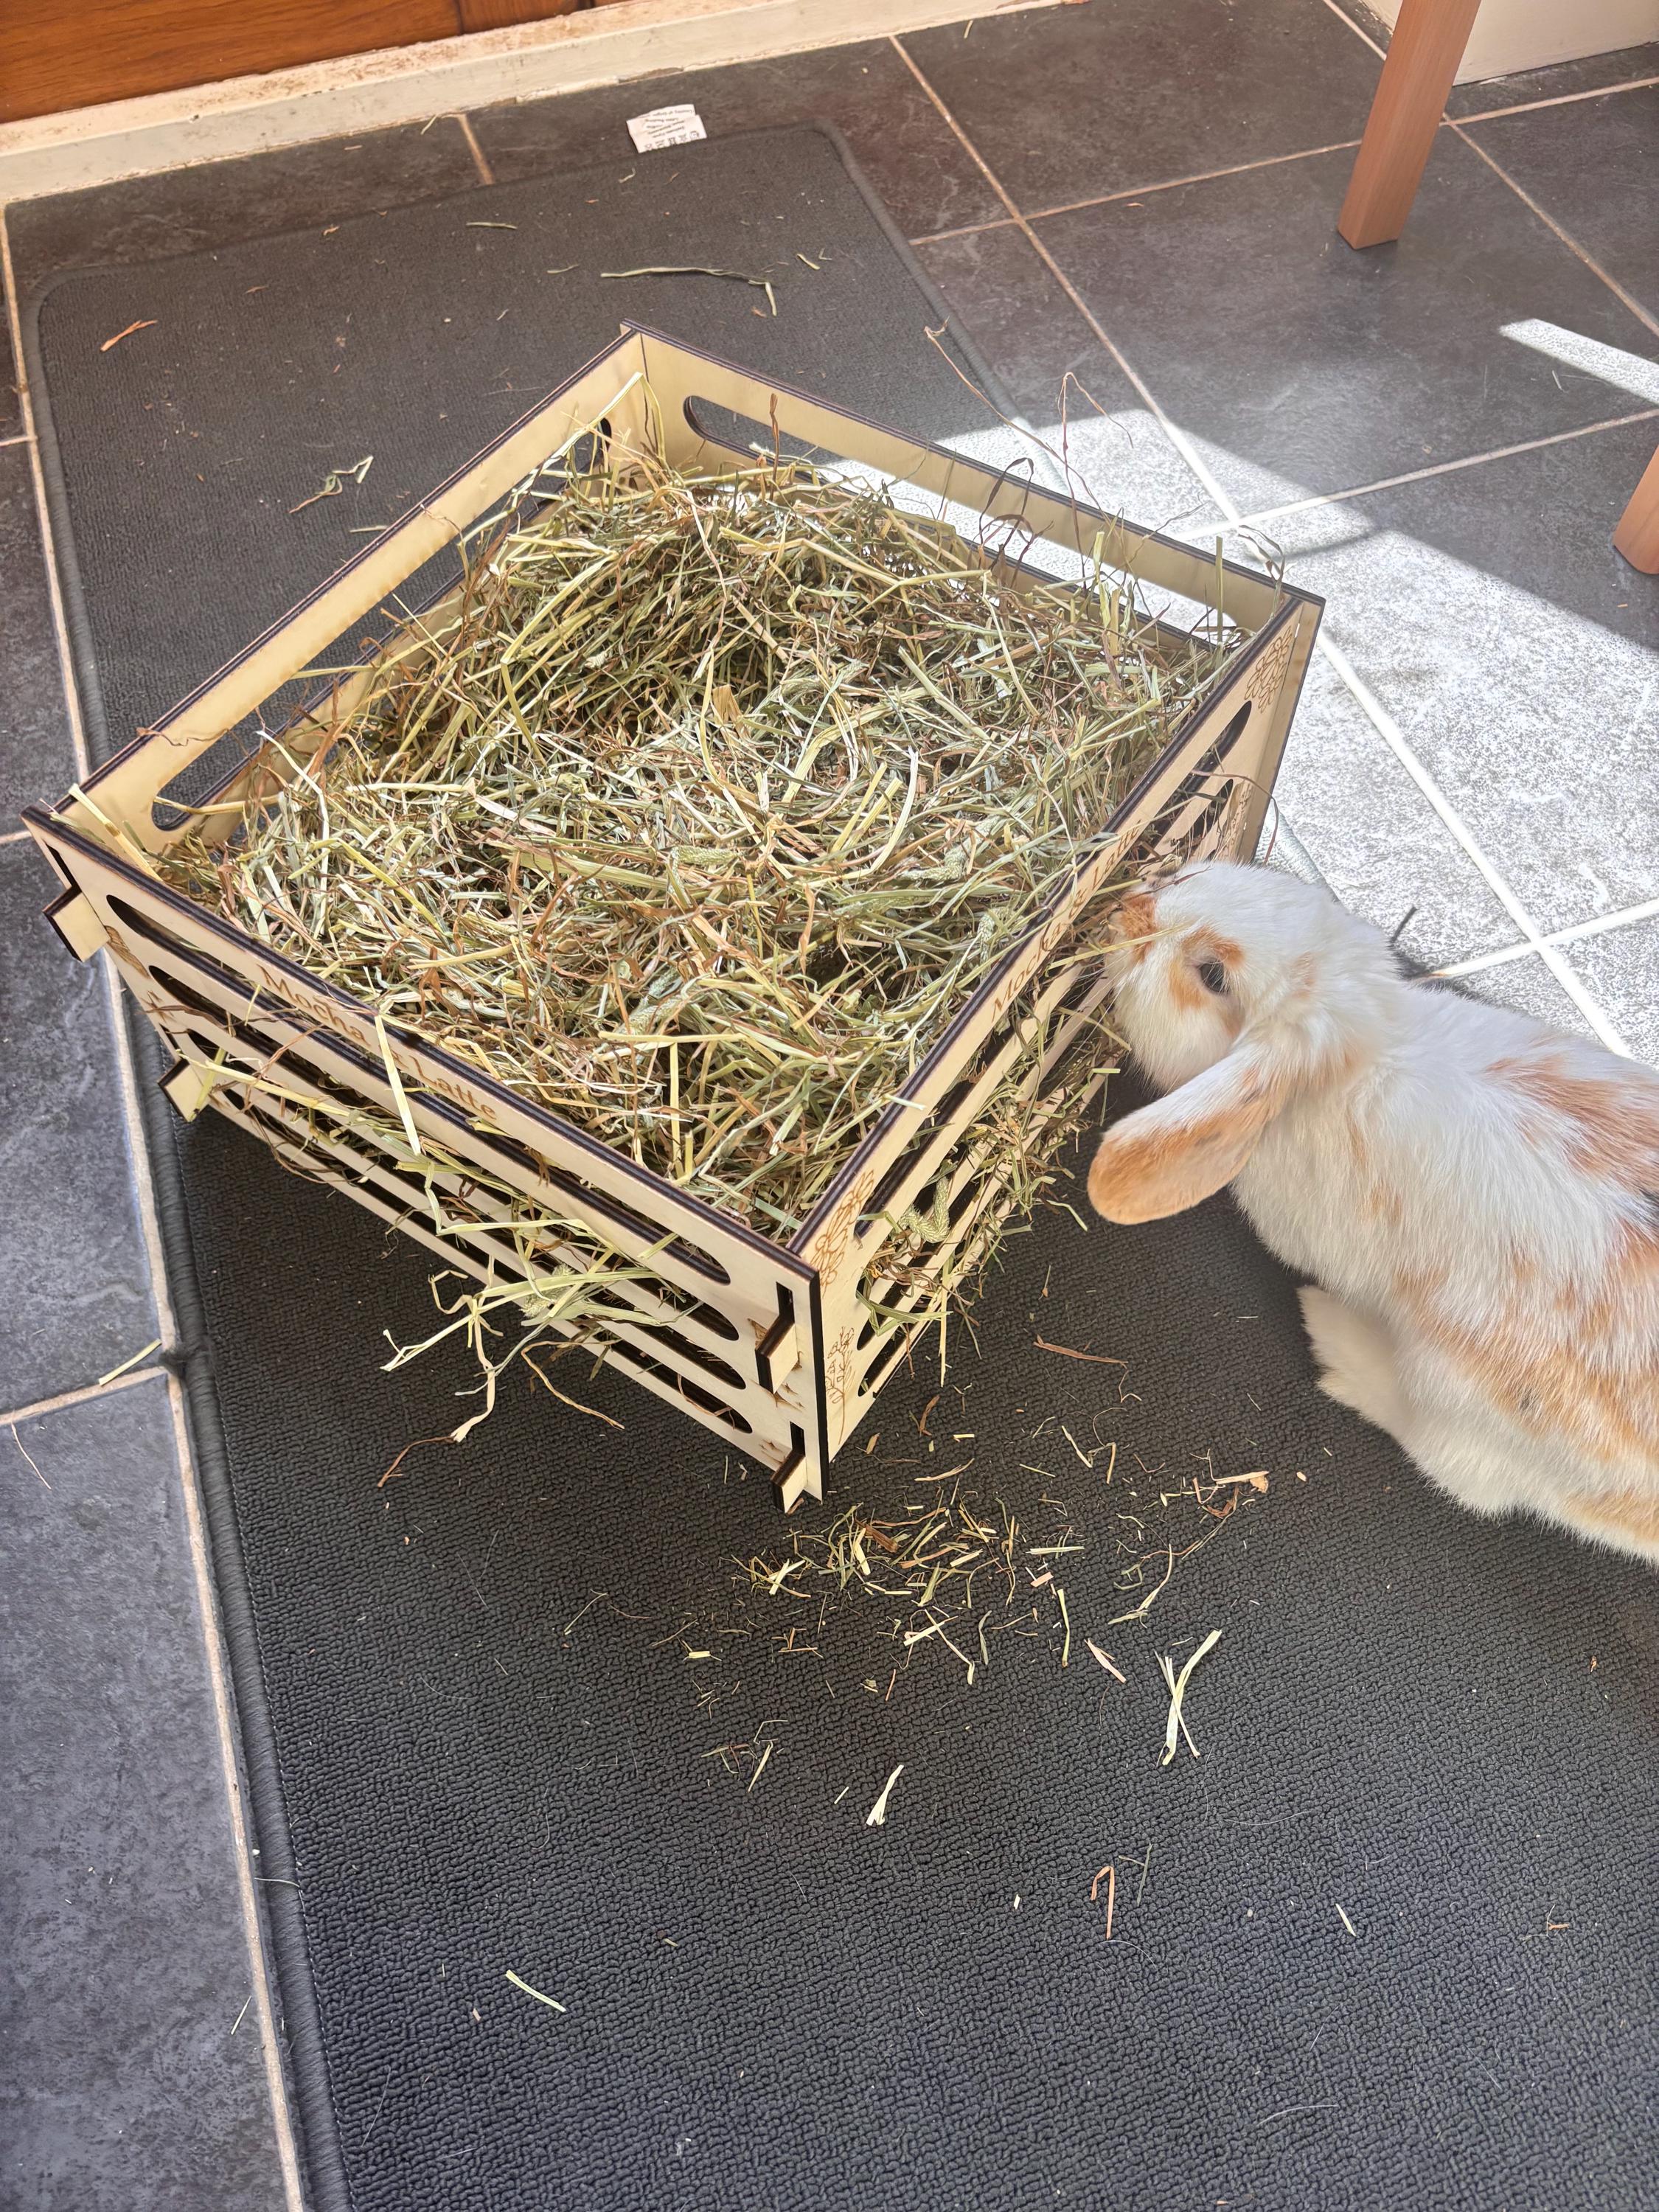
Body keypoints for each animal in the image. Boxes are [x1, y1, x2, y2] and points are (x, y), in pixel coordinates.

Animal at [1085, 859, 1659, 1565]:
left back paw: (1333, 1337)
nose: (1123, 906)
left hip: (1463, 1401)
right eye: (1192, 874)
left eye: (1212, 975)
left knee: (1457, 1471)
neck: (1364, 1062)